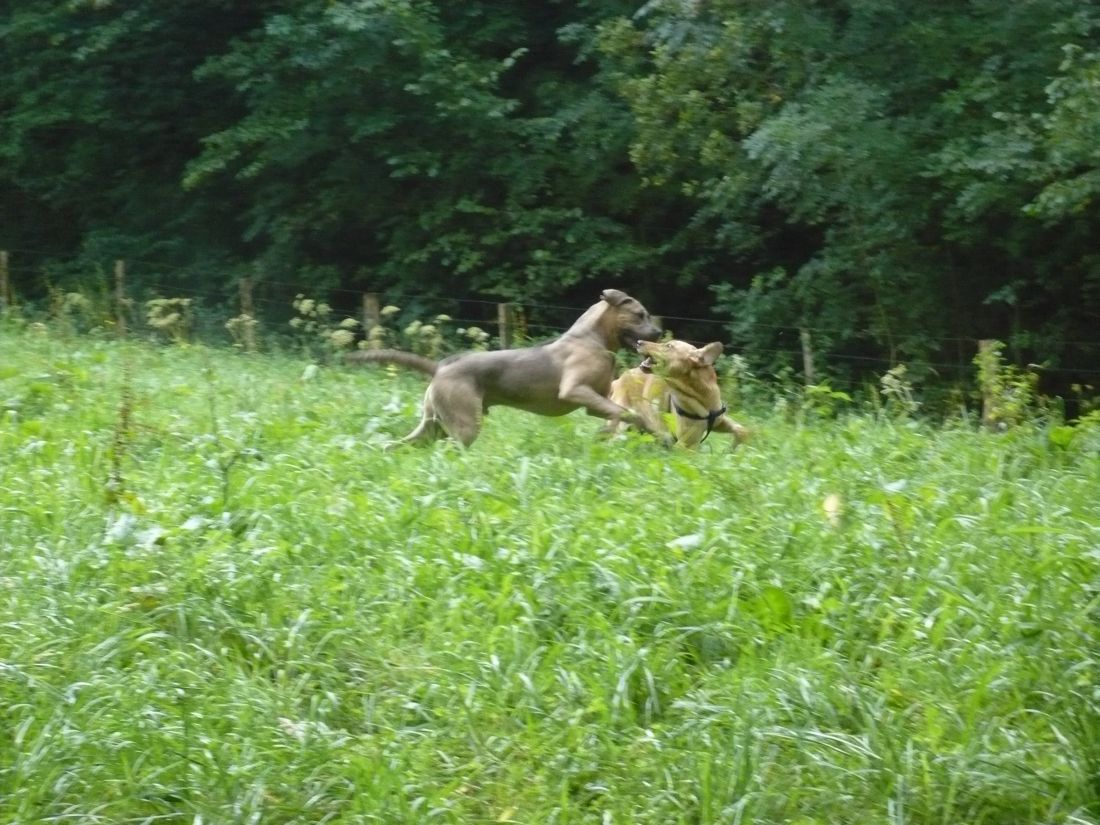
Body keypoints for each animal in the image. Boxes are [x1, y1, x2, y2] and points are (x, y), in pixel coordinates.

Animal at [346, 289, 662, 447]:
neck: (592, 338)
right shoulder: (575, 390)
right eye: (639, 314)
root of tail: (440, 368)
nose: (659, 333)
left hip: (433, 424)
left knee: (398, 445)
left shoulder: (596, 402)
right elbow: (628, 413)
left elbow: (622, 413)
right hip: (464, 425)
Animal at [608, 339, 749, 448]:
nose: (638, 342)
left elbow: (741, 430)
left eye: (668, 346)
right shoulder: (686, 445)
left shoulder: (719, 421)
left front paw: (733, 448)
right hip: (621, 423)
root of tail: (617, 380)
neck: (700, 397)